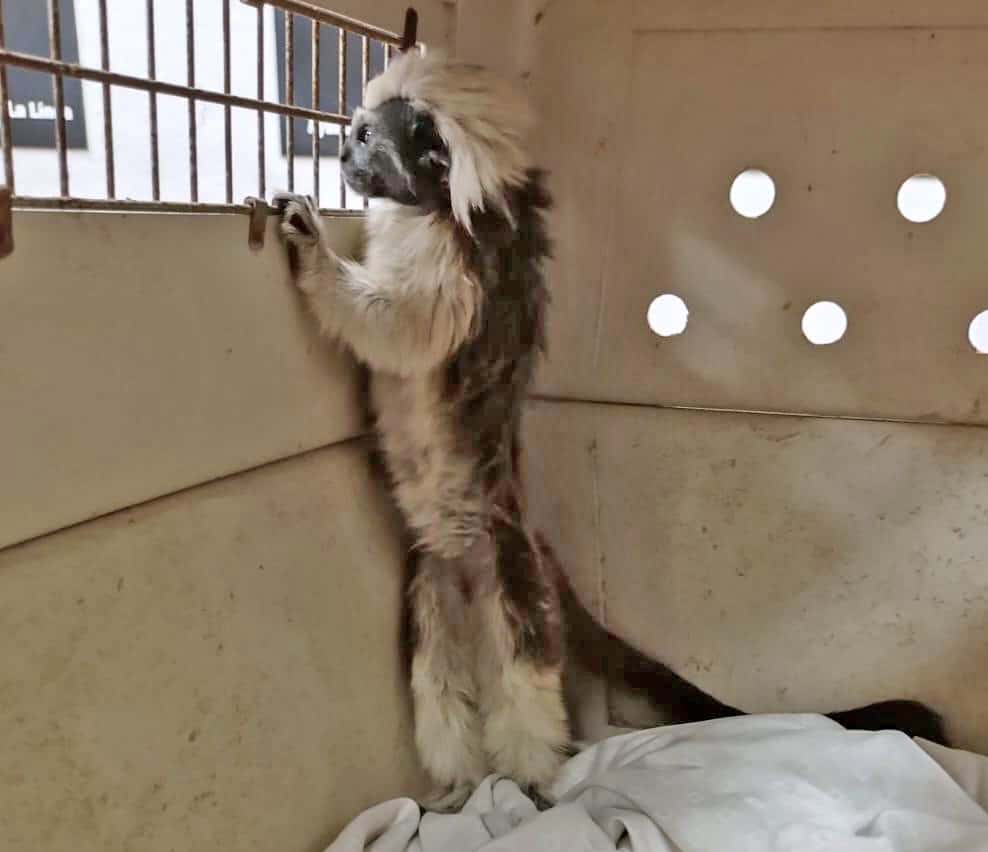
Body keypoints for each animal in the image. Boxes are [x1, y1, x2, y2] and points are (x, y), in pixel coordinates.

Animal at [273, 50, 947, 811]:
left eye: (365, 138)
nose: (341, 155)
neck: (440, 205)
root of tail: (529, 541)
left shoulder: (460, 269)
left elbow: (401, 328)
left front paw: (312, 250)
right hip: (437, 585)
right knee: (437, 679)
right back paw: (463, 782)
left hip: (512, 579)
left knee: (526, 679)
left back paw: (529, 783)